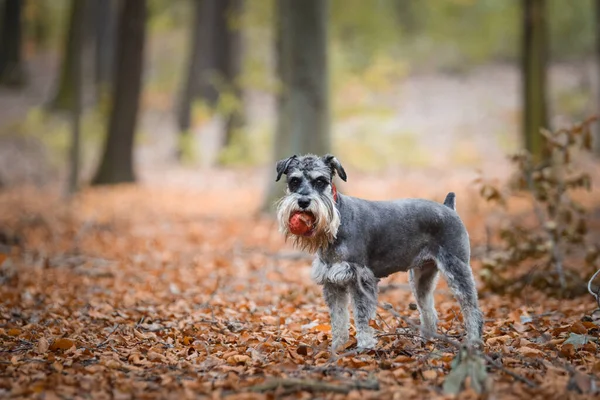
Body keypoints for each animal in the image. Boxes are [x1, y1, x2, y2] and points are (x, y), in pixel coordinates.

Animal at [276, 155, 482, 352]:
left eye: (320, 181)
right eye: (294, 181)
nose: (303, 202)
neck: (337, 221)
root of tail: (448, 208)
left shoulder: (359, 278)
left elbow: (361, 316)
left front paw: (365, 346)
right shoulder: (332, 282)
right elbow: (338, 319)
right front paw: (338, 347)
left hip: (457, 268)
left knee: (472, 309)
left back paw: (473, 342)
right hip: (421, 277)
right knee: (428, 310)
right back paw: (426, 342)